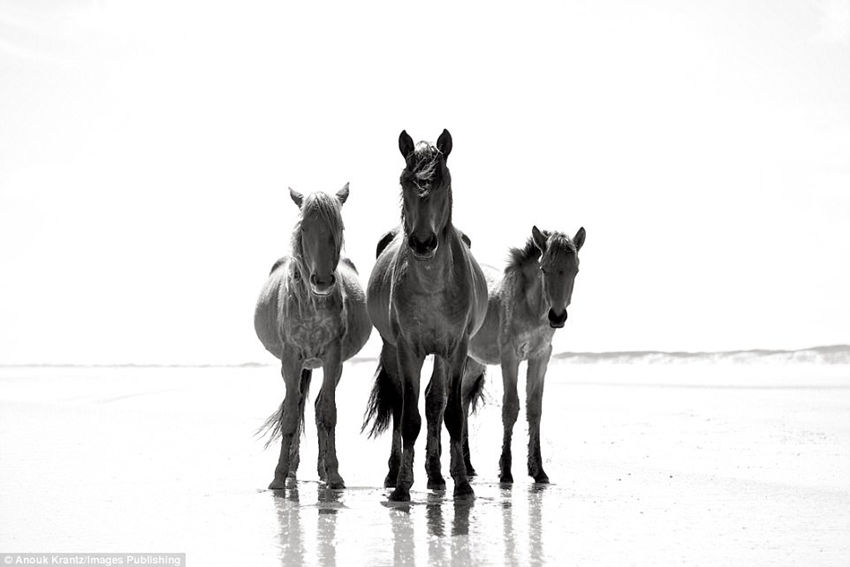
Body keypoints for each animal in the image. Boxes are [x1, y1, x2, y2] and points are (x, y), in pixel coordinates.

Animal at [253, 184, 370, 490]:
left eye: (339, 226)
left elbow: (328, 413)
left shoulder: (333, 357)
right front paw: (279, 476)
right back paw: (292, 470)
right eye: (304, 227)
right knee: (296, 405)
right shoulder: (291, 359)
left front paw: (335, 474)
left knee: (316, 407)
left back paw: (323, 471)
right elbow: (291, 416)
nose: (322, 281)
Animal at [362, 130, 486, 502]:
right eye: (405, 180)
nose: (422, 243)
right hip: (390, 348)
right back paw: (394, 472)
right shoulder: (407, 348)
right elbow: (408, 418)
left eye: (443, 180)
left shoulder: (455, 348)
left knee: (434, 402)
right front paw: (402, 485)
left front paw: (461, 483)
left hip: (441, 354)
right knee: (400, 400)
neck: (432, 284)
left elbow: (451, 413)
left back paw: (436, 474)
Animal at [458, 226, 584, 484]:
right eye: (543, 268)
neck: (531, 307)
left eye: (575, 270)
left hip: (475, 362)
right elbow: (510, 407)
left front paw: (538, 470)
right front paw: (505, 470)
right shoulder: (510, 357)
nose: (557, 316)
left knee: (463, 398)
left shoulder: (540, 357)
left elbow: (534, 408)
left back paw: (468, 464)